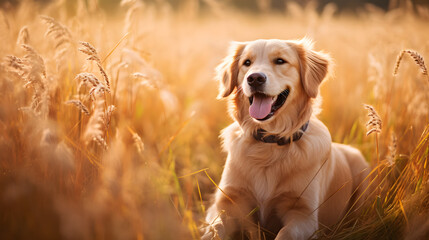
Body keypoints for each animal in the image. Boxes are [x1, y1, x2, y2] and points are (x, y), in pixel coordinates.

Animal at [201, 38, 368, 239]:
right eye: (247, 63)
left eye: (280, 61)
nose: (254, 78)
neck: (269, 142)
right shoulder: (228, 203)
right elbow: (214, 229)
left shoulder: (304, 214)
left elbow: (285, 233)